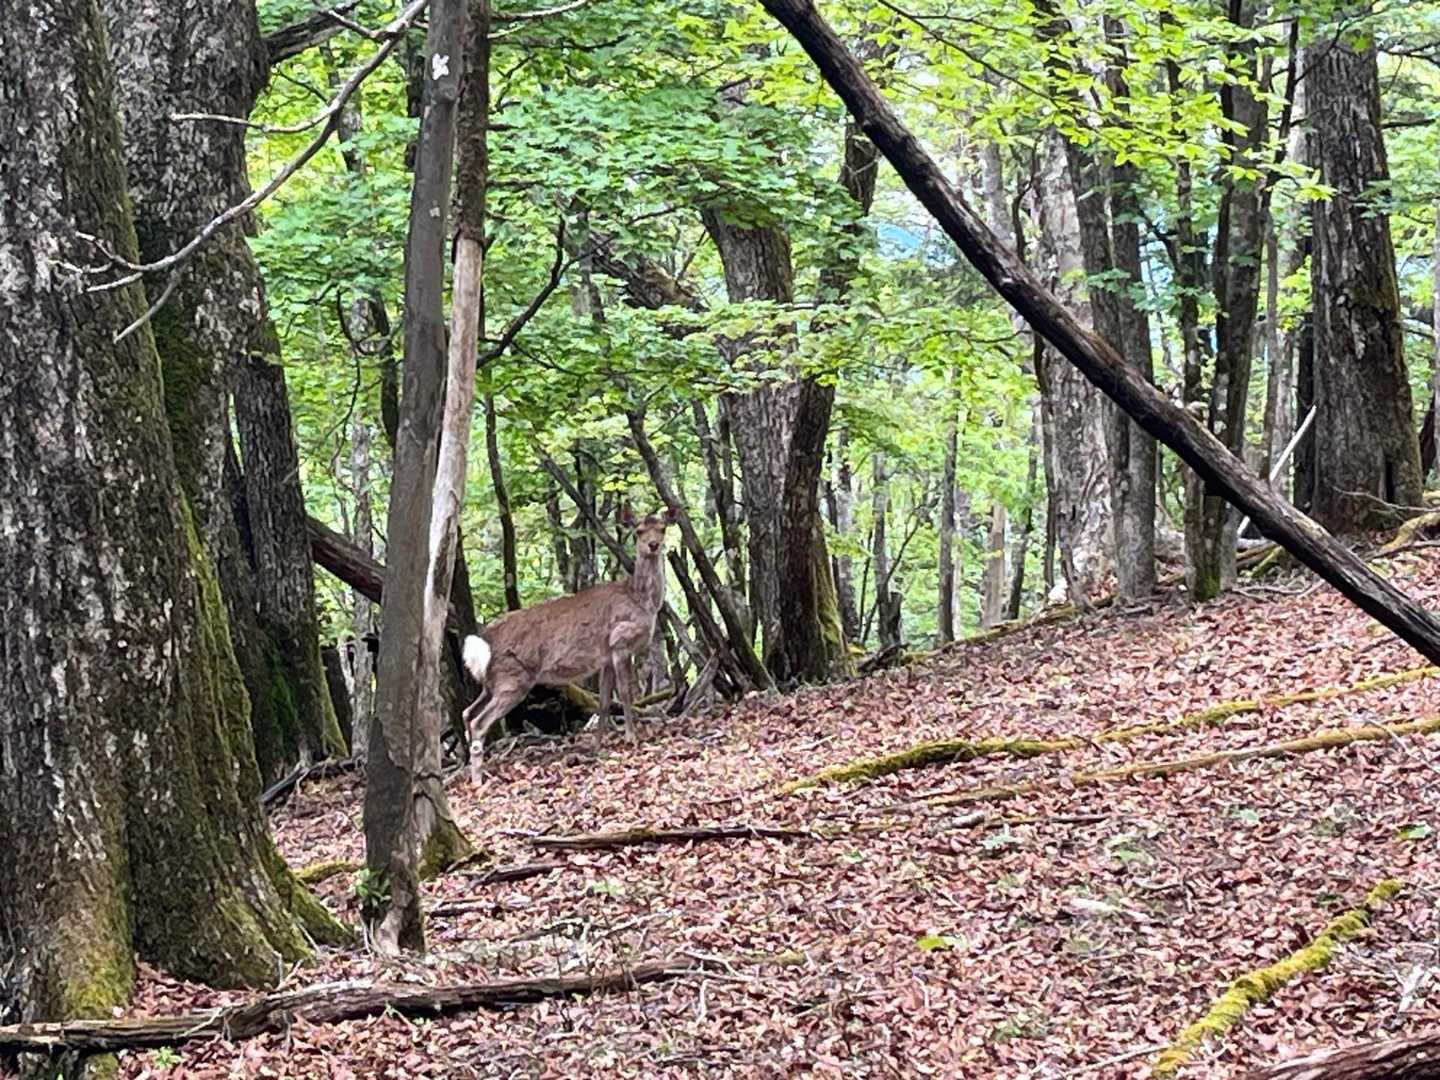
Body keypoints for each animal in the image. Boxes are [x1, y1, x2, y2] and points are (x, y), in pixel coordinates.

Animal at [461, 505, 678, 781]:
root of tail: (483, 642)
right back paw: (478, 779)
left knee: (467, 713)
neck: (643, 602)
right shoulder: (620, 641)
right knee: (479, 722)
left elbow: (604, 701)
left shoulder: (605, 656)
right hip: (513, 678)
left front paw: (597, 744)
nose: (653, 544)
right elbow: (625, 693)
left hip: (492, 682)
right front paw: (631, 737)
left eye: (662, 528)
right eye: (638, 531)